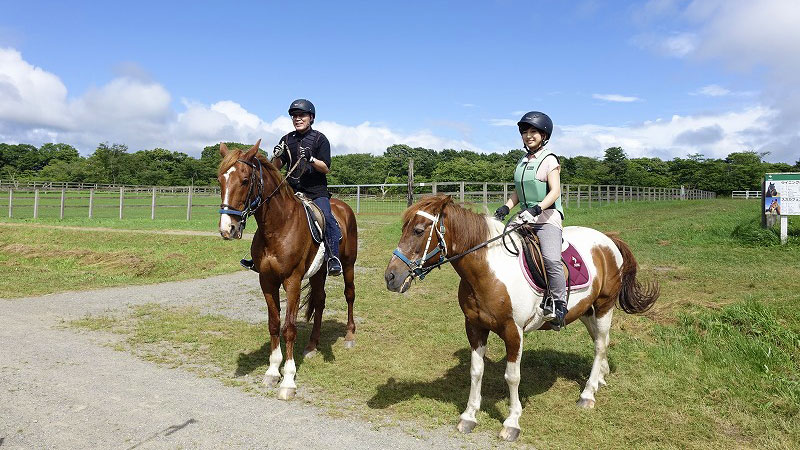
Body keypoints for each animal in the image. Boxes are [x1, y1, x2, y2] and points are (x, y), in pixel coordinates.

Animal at [217, 142, 358, 400]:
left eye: (244, 180)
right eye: (220, 180)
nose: (227, 229)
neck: (278, 226)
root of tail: (343, 207)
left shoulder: (292, 281)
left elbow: (289, 328)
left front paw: (289, 380)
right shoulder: (267, 281)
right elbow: (274, 324)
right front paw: (273, 371)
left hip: (348, 265)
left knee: (350, 295)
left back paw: (350, 336)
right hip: (319, 273)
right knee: (320, 301)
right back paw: (312, 346)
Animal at [384, 195, 660, 442]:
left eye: (419, 231)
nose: (391, 277)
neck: (489, 271)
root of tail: (608, 240)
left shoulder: (512, 331)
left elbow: (512, 376)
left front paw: (512, 423)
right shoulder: (474, 327)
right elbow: (476, 371)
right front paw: (469, 416)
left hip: (604, 305)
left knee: (600, 345)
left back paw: (588, 394)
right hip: (586, 310)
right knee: (600, 343)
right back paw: (601, 377)